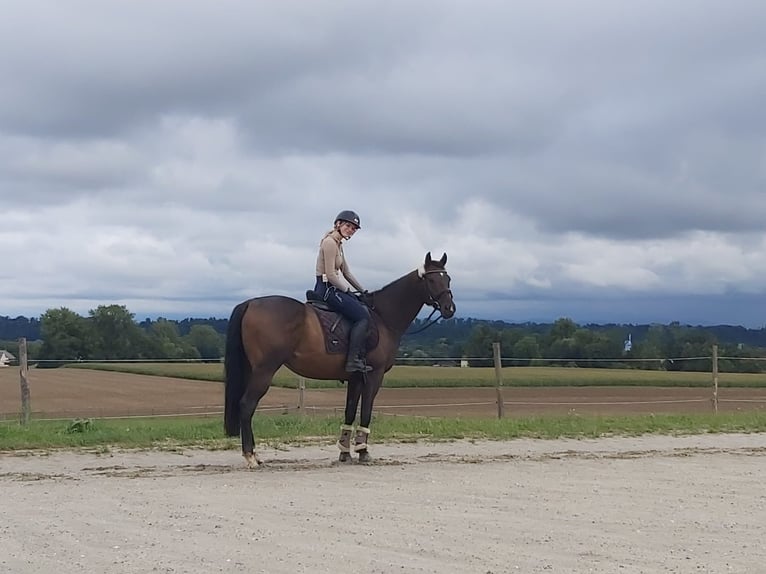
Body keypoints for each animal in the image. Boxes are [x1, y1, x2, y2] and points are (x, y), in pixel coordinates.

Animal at [226, 254, 456, 470]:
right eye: (432, 280)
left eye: (448, 279)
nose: (450, 308)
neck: (382, 317)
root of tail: (251, 303)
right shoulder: (374, 375)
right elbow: (366, 411)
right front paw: (363, 452)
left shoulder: (355, 378)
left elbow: (349, 412)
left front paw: (345, 453)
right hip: (264, 371)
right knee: (246, 405)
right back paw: (250, 456)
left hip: (252, 370)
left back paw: (256, 455)